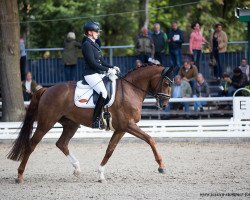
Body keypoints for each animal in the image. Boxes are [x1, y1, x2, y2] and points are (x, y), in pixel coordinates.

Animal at [8, 64, 172, 183]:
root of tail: (47, 89)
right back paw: (20, 176)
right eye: (165, 83)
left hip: (71, 124)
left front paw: (100, 174)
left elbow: (110, 150)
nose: (164, 105)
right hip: (46, 122)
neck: (130, 90)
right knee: (31, 145)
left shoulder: (121, 129)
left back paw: (77, 169)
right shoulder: (128, 125)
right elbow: (150, 139)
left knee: (61, 143)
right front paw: (161, 166)